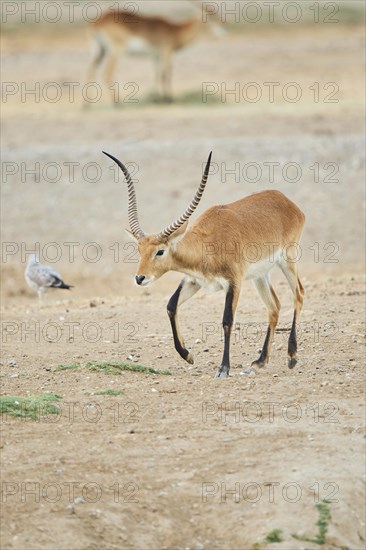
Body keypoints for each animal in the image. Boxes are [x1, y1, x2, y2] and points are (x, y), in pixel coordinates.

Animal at [87, 1, 223, 103]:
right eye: (210, 19)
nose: (221, 32)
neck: (175, 31)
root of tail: (98, 23)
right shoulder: (166, 52)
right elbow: (167, 73)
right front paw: (169, 99)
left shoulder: (156, 56)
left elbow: (157, 74)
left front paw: (157, 98)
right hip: (116, 51)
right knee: (107, 72)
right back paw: (117, 104)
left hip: (100, 50)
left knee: (91, 69)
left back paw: (87, 106)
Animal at [104, 150, 304, 380]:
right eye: (139, 250)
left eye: (160, 251)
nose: (140, 278)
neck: (207, 246)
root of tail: (285, 200)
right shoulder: (194, 280)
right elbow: (171, 305)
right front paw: (188, 355)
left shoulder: (234, 282)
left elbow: (227, 320)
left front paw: (223, 368)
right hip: (260, 276)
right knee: (274, 307)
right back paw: (259, 363)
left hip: (288, 260)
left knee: (299, 294)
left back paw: (291, 357)